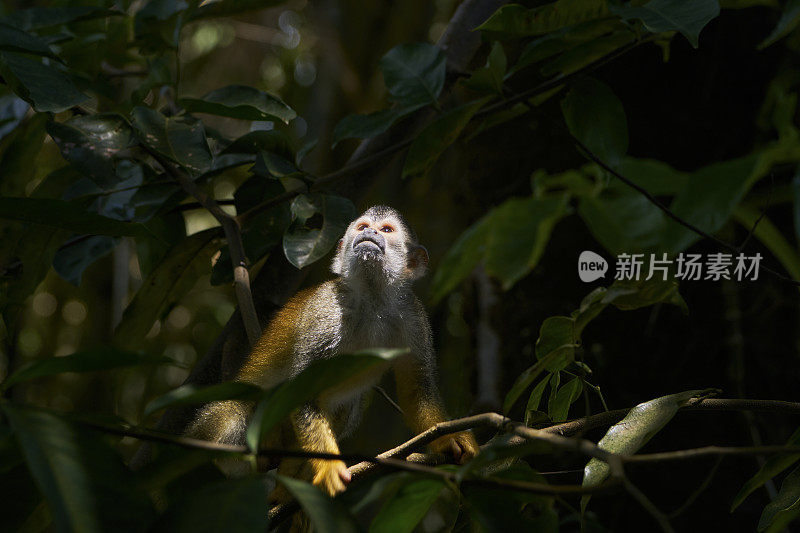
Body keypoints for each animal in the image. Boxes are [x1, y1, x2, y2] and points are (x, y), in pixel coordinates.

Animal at [188, 204, 478, 494]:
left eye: (386, 230)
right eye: (363, 227)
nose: (370, 233)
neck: (371, 300)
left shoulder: (413, 315)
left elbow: (417, 391)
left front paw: (453, 439)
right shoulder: (325, 309)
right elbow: (302, 388)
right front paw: (329, 467)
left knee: (346, 406)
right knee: (231, 413)